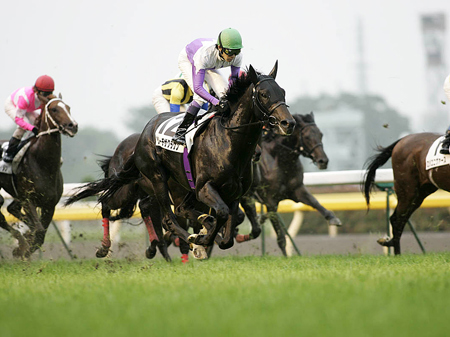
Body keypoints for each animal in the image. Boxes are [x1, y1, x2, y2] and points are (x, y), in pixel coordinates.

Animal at [0, 93, 78, 256]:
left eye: (68, 107)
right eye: (54, 109)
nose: (72, 126)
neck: (43, 163)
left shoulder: (50, 204)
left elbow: (41, 232)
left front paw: (25, 244)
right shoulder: (29, 200)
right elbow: (40, 230)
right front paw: (22, 248)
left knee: (12, 208)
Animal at [65, 62, 294, 258]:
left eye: (282, 91)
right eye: (263, 94)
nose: (288, 123)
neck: (228, 143)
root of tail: (143, 133)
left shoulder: (234, 193)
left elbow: (227, 234)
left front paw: (207, 231)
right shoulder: (204, 188)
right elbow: (221, 214)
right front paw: (201, 239)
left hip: (178, 186)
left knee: (180, 211)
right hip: (153, 181)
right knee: (152, 214)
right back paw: (106, 247)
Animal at [241, 111, 342, 253]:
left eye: (320, 134)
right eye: (306, 137)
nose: (323, 161)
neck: (280, 161)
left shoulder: (297, 189)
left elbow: (315, 202)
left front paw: (333, 218)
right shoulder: (270, 201)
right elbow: (280, 237)